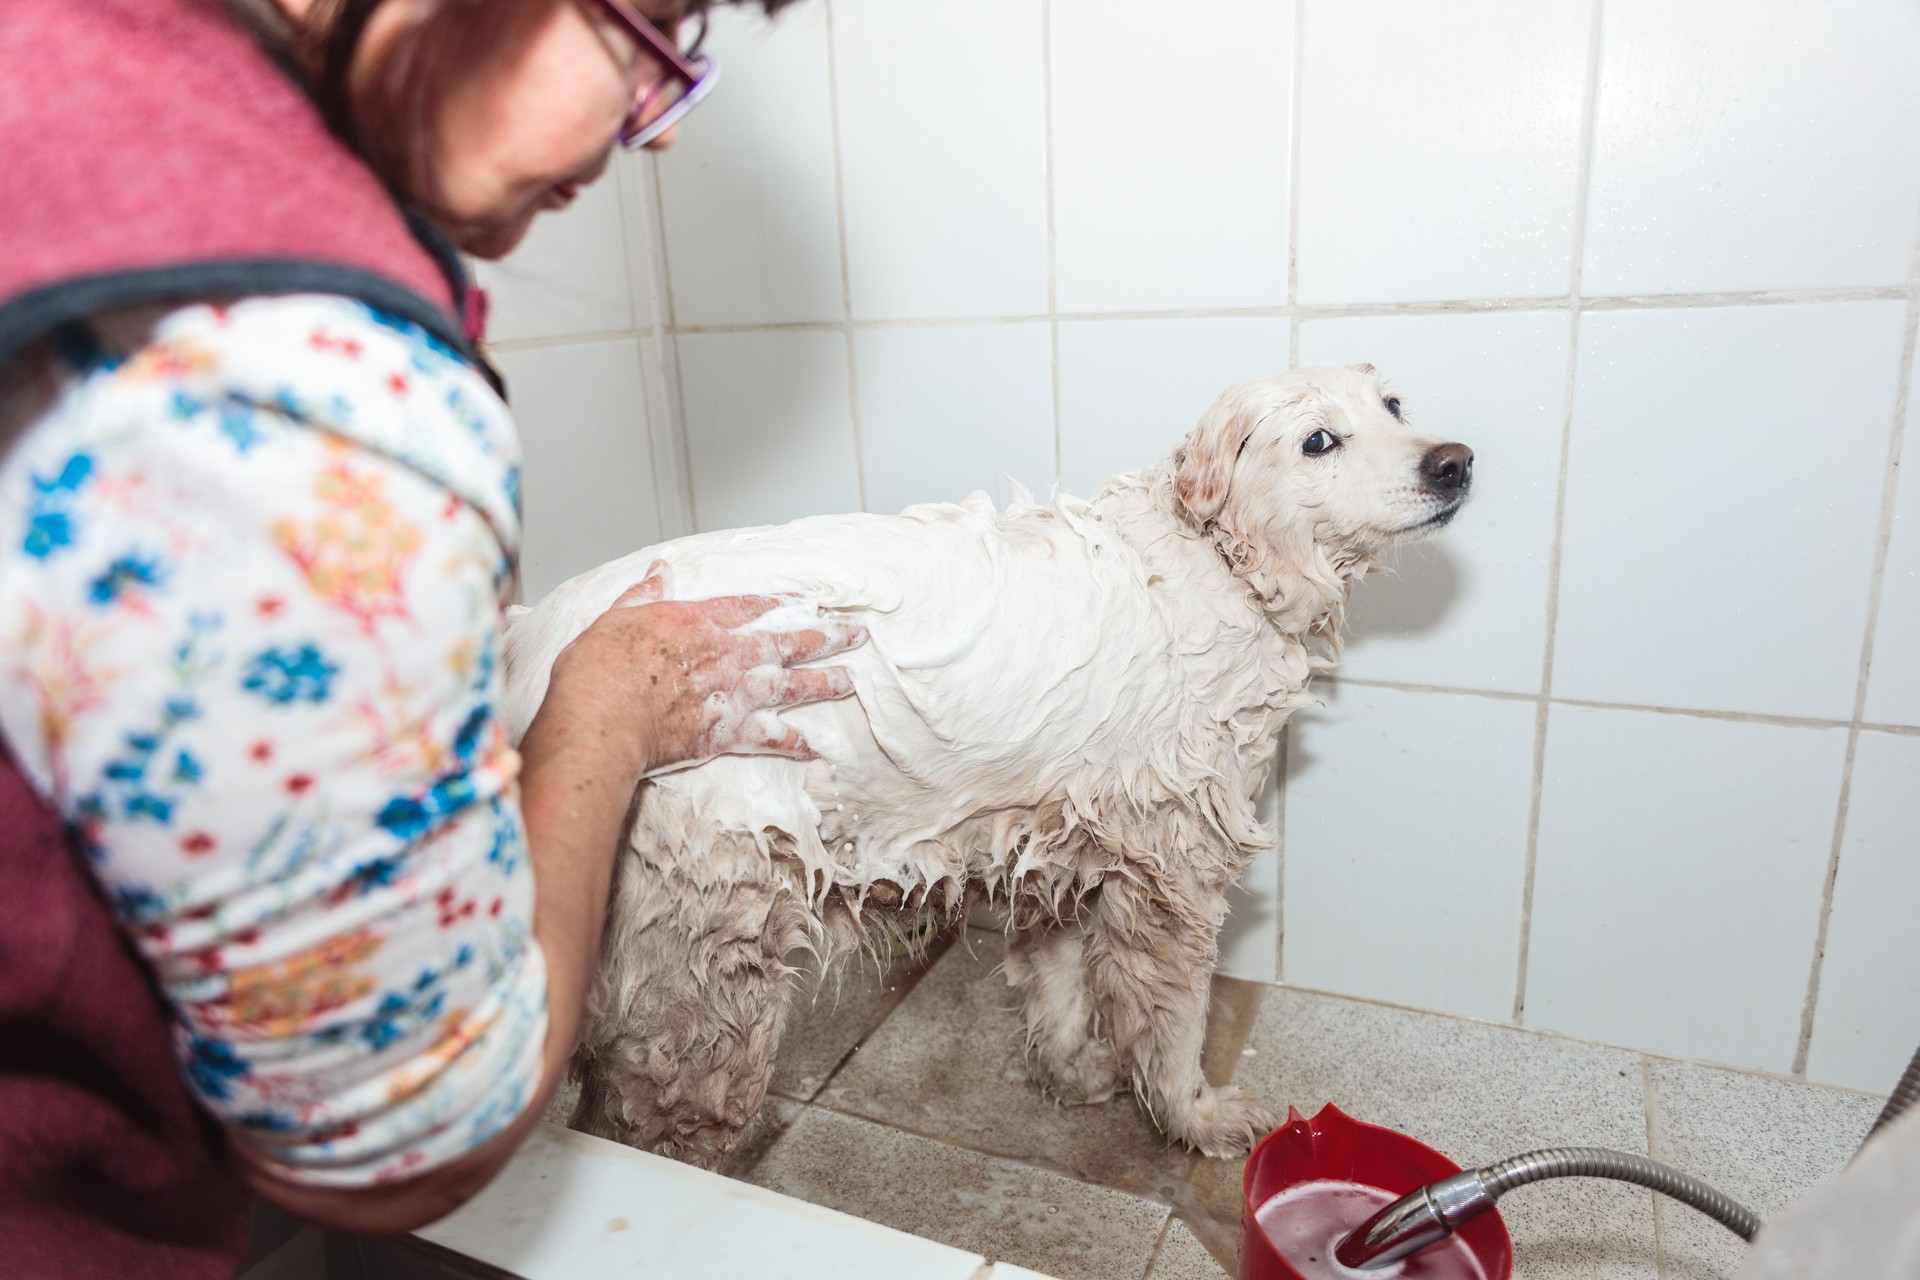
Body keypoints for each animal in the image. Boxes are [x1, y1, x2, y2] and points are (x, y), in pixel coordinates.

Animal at [499, 362, 1466, 1174]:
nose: (1454, 463)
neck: (1219, 562)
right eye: (1318, 441)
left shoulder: (1065, 834)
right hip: (703, 974)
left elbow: (1060, 978)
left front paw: (1071, 1075)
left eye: (1394, 406)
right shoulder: (1175, 864)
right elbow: (1173, 1020)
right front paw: (1198, 1116)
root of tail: (528, 645)